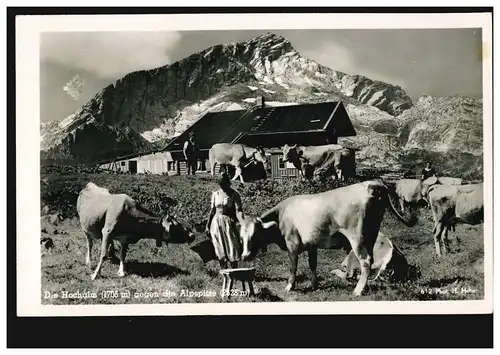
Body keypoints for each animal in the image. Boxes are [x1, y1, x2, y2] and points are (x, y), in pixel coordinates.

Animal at [238, 181, 414, 298]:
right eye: (241, 236)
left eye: (255, 234)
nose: (244, 256)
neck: (282, 215)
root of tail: (370, 184)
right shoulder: (311, 245)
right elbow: (312, 264)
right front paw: (314, 284)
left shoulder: (292, 245)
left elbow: (293, 267)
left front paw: (289, 286)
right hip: (371, 236)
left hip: (357, 238)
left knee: (365, 262)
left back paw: (357, 290)